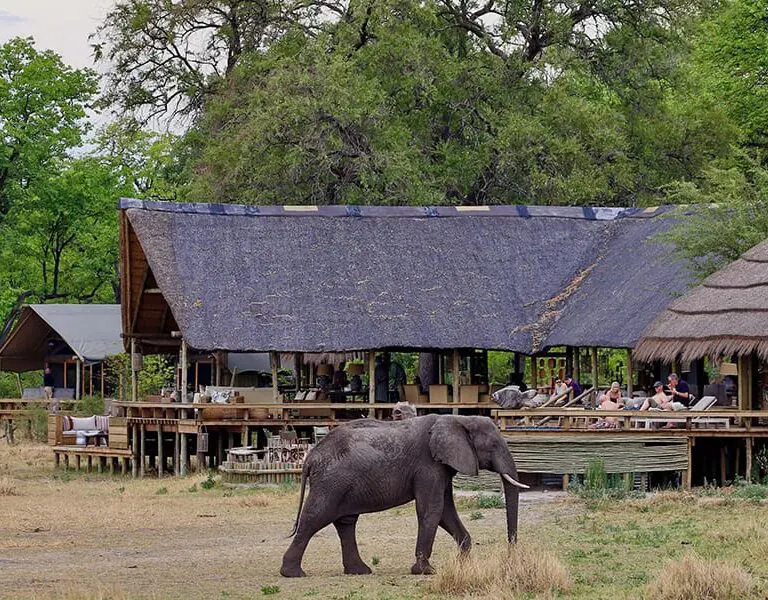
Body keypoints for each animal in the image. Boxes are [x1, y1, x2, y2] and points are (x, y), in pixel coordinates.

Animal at [280, 414, 528, 577]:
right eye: (494, 445)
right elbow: (433, 509)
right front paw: (426, 571)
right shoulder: (428, 466)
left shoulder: (441, 467)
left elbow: (445, 512)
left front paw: (462, 564)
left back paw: (360, 571)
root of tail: (310, 457)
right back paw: (293, 573)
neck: (459, 418)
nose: (511, 556)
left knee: (345, 523)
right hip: (330, 483)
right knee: (315, 518)